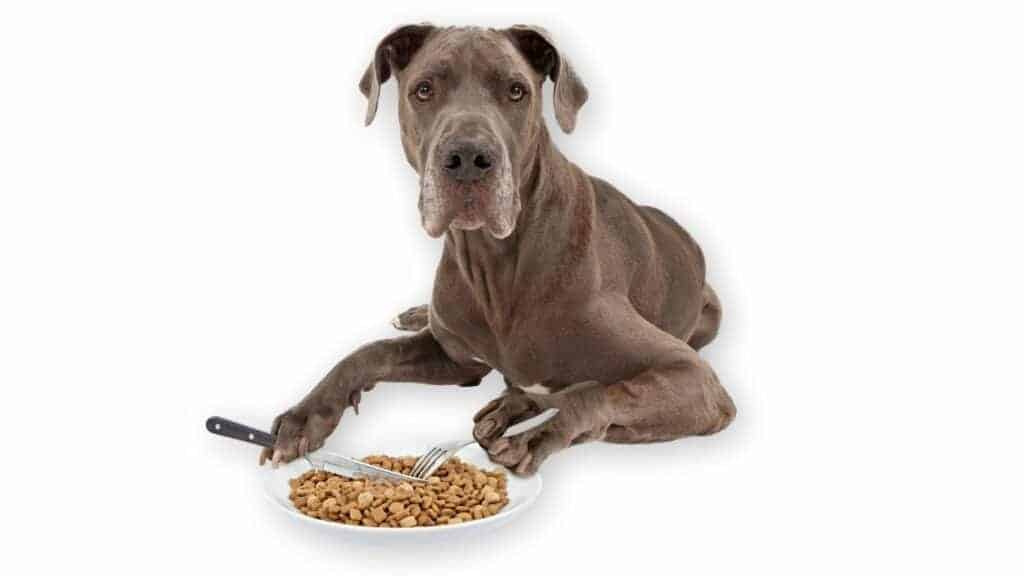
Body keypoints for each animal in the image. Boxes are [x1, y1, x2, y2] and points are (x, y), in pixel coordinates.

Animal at [258, 24, 737, 475]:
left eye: (516, 90)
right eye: (424, 90)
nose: (468, 157)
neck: (497, 261)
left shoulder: (693, 377)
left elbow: (597, 393)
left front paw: (536, 433)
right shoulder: (459, 361)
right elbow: (369, 352)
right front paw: (304, 416)